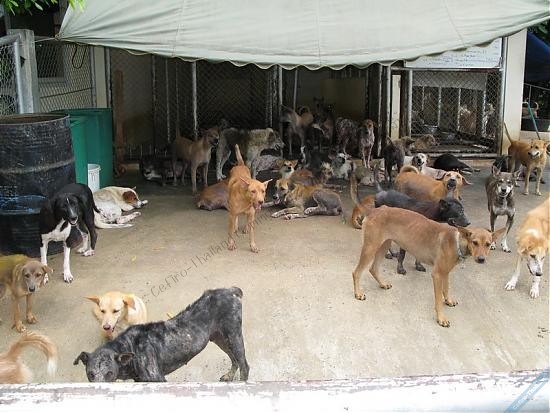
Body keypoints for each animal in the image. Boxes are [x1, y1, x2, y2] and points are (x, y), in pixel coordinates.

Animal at [74, 287, 249, 382]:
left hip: (234, 336)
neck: (130, 347)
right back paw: (229, 376)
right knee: (234, 360)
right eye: (90, 374)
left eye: (109, 373)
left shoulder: (158, 379)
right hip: (220, 338)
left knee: (244, 366)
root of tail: (230, 291)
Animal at [351, 205, 504, 327]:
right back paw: (358, 293)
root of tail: (374, 210)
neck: (456, 242)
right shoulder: (437, 275)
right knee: (356, 272)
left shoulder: (445, 273)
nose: (481, 259)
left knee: (373, 268)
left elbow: (446, 289)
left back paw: (382, 284)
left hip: (384, 245)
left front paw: (448, 300)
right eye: (475, 242)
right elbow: (438, 300)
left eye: (488, 244)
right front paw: (441, 318)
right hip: (371, 247)